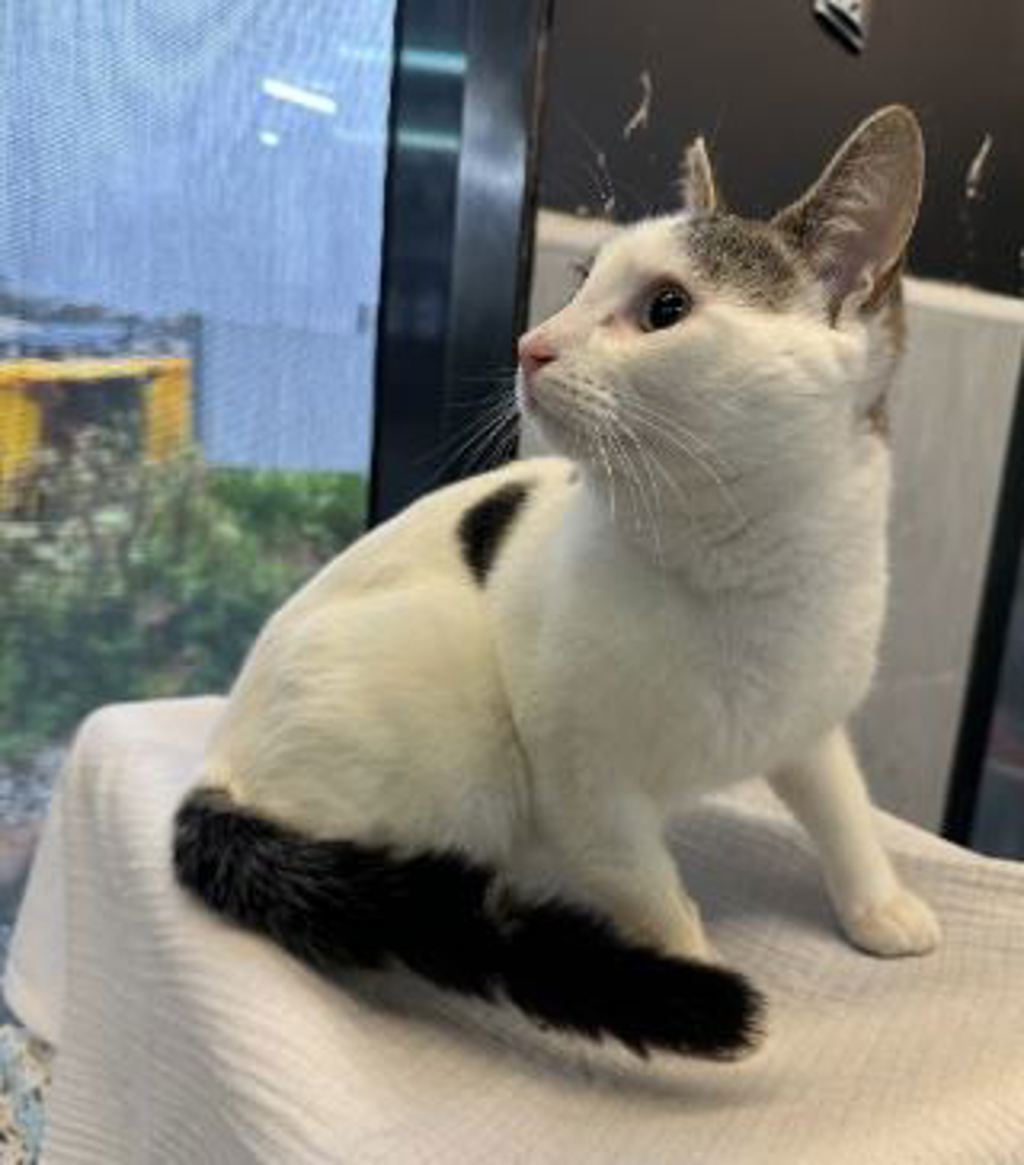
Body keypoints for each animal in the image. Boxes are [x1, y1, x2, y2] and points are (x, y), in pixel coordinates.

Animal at [174, 105, 940, 1061]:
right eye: (581, 281)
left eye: (665, 307)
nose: (529, 347)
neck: (740, 574)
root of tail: (218, 759)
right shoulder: (585, 789)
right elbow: (654, 891)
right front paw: (688, 970)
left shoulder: (810, 722)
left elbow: (844, 806)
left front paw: (878, 903)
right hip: (458, 725)